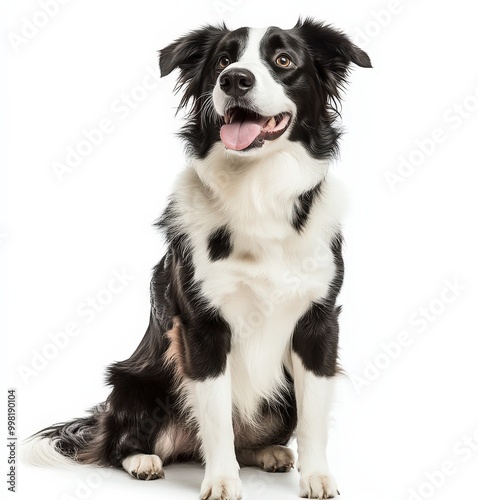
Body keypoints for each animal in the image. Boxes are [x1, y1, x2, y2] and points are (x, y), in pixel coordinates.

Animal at [24, 17, 372, 498]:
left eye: (284, 60)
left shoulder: (319, 323)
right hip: (135, 382)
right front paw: (222, 480)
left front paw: (317, 475)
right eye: (223, 60)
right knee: (116, 444)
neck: (258, 192)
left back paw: (268, 452)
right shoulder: (200, 329)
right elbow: (217, 418)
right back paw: (143, 460)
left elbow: (314, 416)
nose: (235, 80)